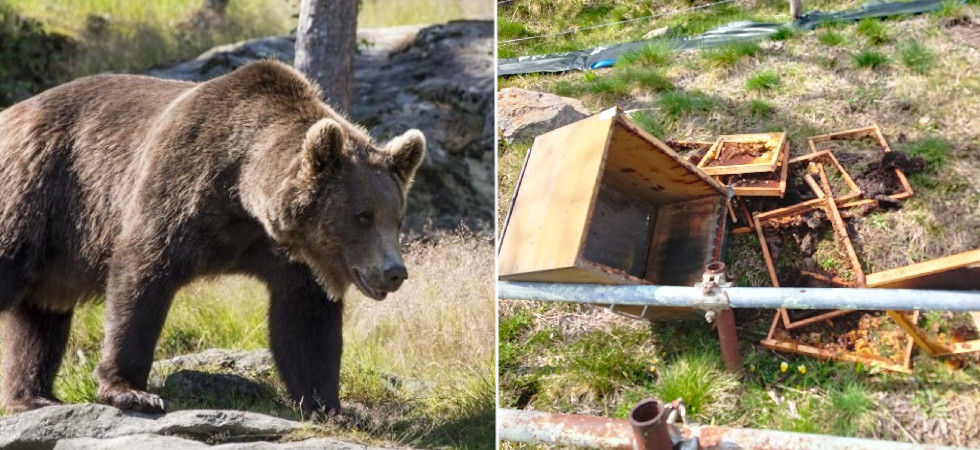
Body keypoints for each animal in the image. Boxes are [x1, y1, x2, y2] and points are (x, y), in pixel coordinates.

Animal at [0, 60, 425, 415]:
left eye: (397, 218)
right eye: (363, 216)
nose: (394, 272)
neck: (242, 197)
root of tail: (12, 113)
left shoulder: (288, 255)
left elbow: (306, 322)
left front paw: (330, 405)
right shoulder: (178, 190)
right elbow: (141, 278)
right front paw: (132, 390)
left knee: (40, 318)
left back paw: (33, 396)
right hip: (36, 194)